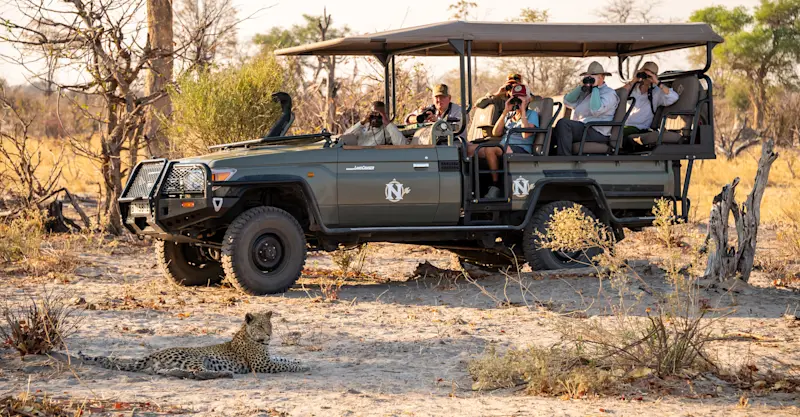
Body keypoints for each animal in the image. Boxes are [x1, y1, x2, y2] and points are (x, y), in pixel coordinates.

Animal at [76, 310, 309, 379]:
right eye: (260, 326)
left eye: (270, 325)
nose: (269, 335)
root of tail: (155, 353)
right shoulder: (261, 365)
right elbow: (284, 364)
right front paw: (302, 366)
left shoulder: (268, 358)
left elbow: (285, 358)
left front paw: (301, 361)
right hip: (196, 357)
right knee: (198, 372)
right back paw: (224, 374)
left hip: (173, 364)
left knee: (170, 372)